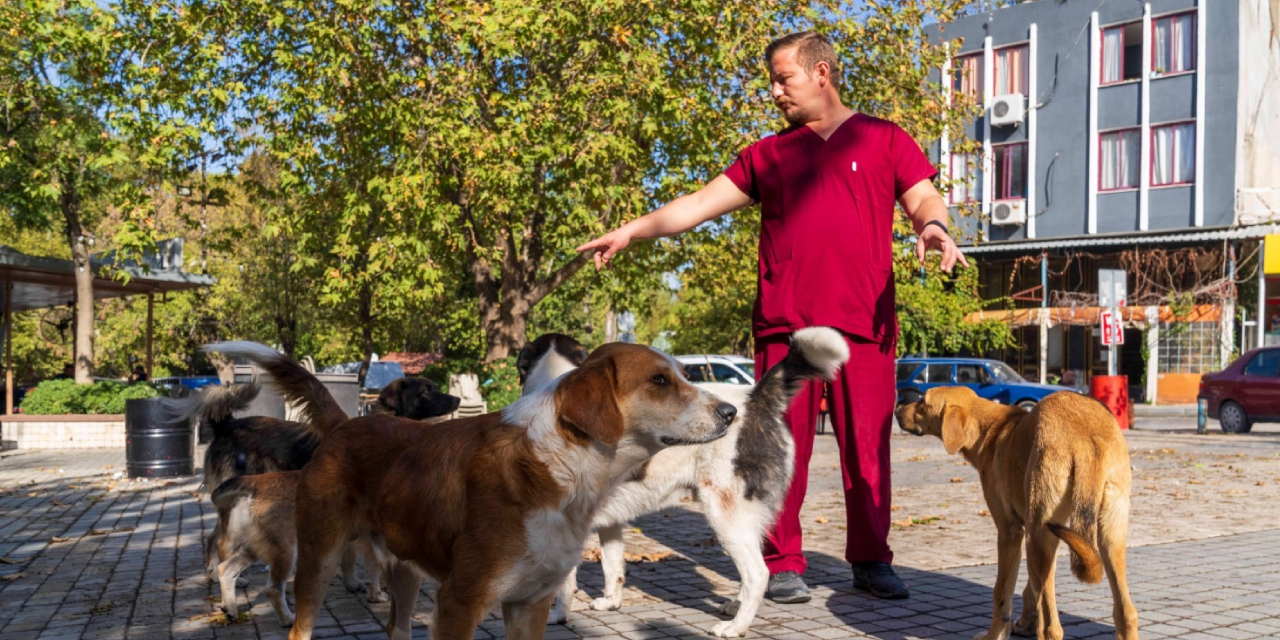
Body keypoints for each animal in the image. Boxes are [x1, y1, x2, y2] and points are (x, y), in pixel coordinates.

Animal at [281, 343, 742, 637]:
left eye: (684, 375)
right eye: (659, 380)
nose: (731, 411)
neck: (562, 465)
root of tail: (346, 425)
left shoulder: (530, 603)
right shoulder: (458, 603)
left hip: (405, 570)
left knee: (397, 626)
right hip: (318, 563)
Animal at [514, 327, 844, 637]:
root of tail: (755, 398)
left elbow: (562, 585)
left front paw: (558, 615)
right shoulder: (609, 522)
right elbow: (613, 565)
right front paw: (611, 601)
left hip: (725, 514)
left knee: (757, 572)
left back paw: (736, 626)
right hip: (748, 518)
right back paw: (735, 606)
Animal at [896, 384, 1136, 640]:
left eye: (923, 401)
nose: (897, 411)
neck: (990, 428)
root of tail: (1086, 436)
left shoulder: (1009, 532)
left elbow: (1001, 592)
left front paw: (994, 635)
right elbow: (1031, 588)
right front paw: (1026, 622)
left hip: (1038, 534)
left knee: (1052, 627)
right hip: (1107, 538)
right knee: (1126, 613)